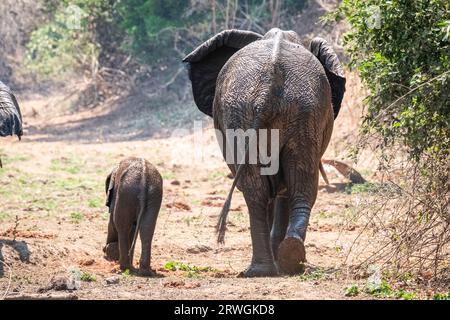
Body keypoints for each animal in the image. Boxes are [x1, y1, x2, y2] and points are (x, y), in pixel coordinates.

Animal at [183, 28, 344, 278]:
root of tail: (267, 88)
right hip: (292, 113)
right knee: (298, 186)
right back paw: (288, 260)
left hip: (266, 115)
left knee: (261, 189)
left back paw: (266, 268)